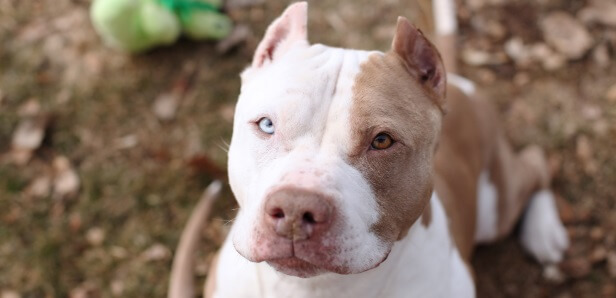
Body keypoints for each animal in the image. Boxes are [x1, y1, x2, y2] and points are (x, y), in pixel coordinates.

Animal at [167, 1, 568, 296]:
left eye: (382, 141)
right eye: (266, 125)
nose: (295, 209)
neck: (318, 289)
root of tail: (456, 83)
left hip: (493, 207)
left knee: (537, 161)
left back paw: (544, 231)